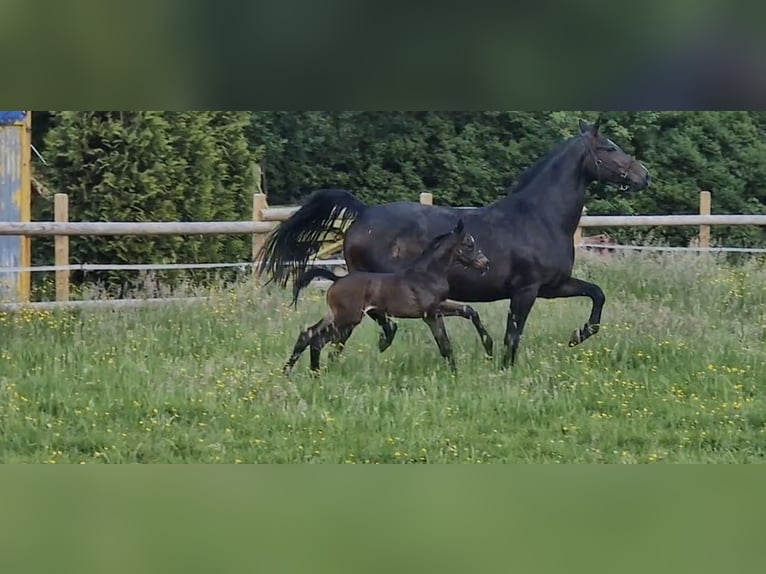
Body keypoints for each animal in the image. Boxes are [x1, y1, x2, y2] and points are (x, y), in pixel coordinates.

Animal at [284, 218, 488, 376]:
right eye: (469, 244)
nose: (485, 263)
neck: (428, 275)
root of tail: (337, 278)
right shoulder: (432, 311)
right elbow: (463, 318)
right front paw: (485, 349)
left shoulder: (435, 313)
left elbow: (450, 338)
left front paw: (459, 372)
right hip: (347, 318)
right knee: (317, 339)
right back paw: (314, 374)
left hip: (336, 316)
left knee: (307, 333)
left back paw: (288, 372)